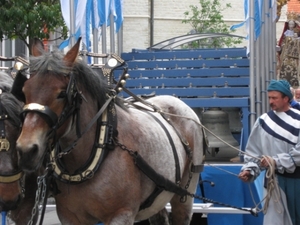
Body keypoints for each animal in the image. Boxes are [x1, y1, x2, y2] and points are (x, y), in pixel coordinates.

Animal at [14, 37, 205, 224]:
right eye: (24, 90)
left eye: (61, 93)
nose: (26, 150)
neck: (102, 145)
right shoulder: (70, 217)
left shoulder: (121, 215)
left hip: (185, 193)